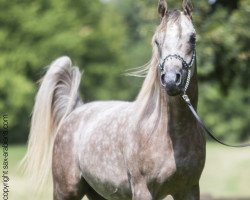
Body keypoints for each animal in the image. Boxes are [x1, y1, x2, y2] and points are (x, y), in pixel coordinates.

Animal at [22, 0, 205, 199]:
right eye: (157, 40)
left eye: (192, 38)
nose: (171, 80)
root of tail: (75, 110)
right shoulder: (142, 190)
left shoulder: (189, 189)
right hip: (65, 190)